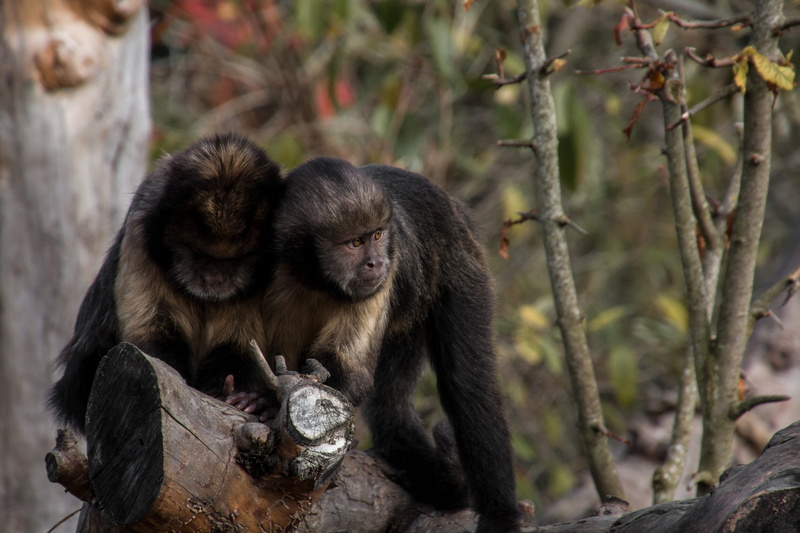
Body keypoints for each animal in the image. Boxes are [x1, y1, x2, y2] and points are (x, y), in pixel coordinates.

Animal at [48, 133, 283, 434]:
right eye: (196, 254)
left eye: (236, 260)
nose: (214, 279)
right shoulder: (142, 229)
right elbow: (152, 329)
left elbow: (240, 345)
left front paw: (239, 395)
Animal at [258, 157, 521, 532]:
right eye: (355, 243)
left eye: (378, 236)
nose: (376, 262)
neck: (317, 279)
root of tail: (453, 207)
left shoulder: (384, 279)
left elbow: (350, 372)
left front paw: (269, 401)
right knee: (390, 409)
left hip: (460, 263)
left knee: (468, 384)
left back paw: (500, 514)